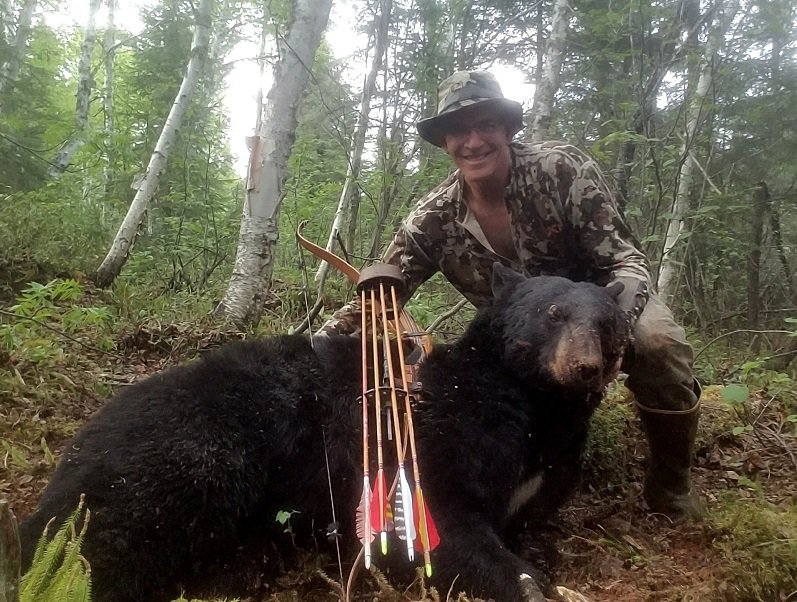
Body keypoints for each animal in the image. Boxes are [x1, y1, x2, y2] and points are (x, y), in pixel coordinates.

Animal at [19, 264, 630, 602]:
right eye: (553, 313)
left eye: (607, 323)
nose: (585, 368)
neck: (536, 408)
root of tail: (81, 441)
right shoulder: (433, 440)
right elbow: (441, 530)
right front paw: (535, 585)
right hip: (196, 451)